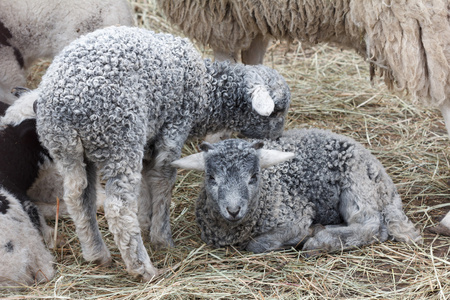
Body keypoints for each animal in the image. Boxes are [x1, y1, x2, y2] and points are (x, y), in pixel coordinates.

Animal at [0, 25, 292, 282]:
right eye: (277, 110)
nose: (278, 136)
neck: (205, 90)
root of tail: (64, 104)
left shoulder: (147, 139)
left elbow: (144, 184)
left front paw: (143, 222)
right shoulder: (173, 128)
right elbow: (163, 180)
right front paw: (162, 237)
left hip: (69, 150)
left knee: (78, 197)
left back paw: (97, 253)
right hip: (119, 137)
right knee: (118, 208)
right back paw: (143, 268)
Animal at [172, 128, 422, 253]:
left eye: (253, 177)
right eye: (211, 177)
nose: (233, 210)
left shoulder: (296, 216)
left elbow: (256, 245)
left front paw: (304, 236)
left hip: (356, 183)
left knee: (371, 225)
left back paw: (320, 241)